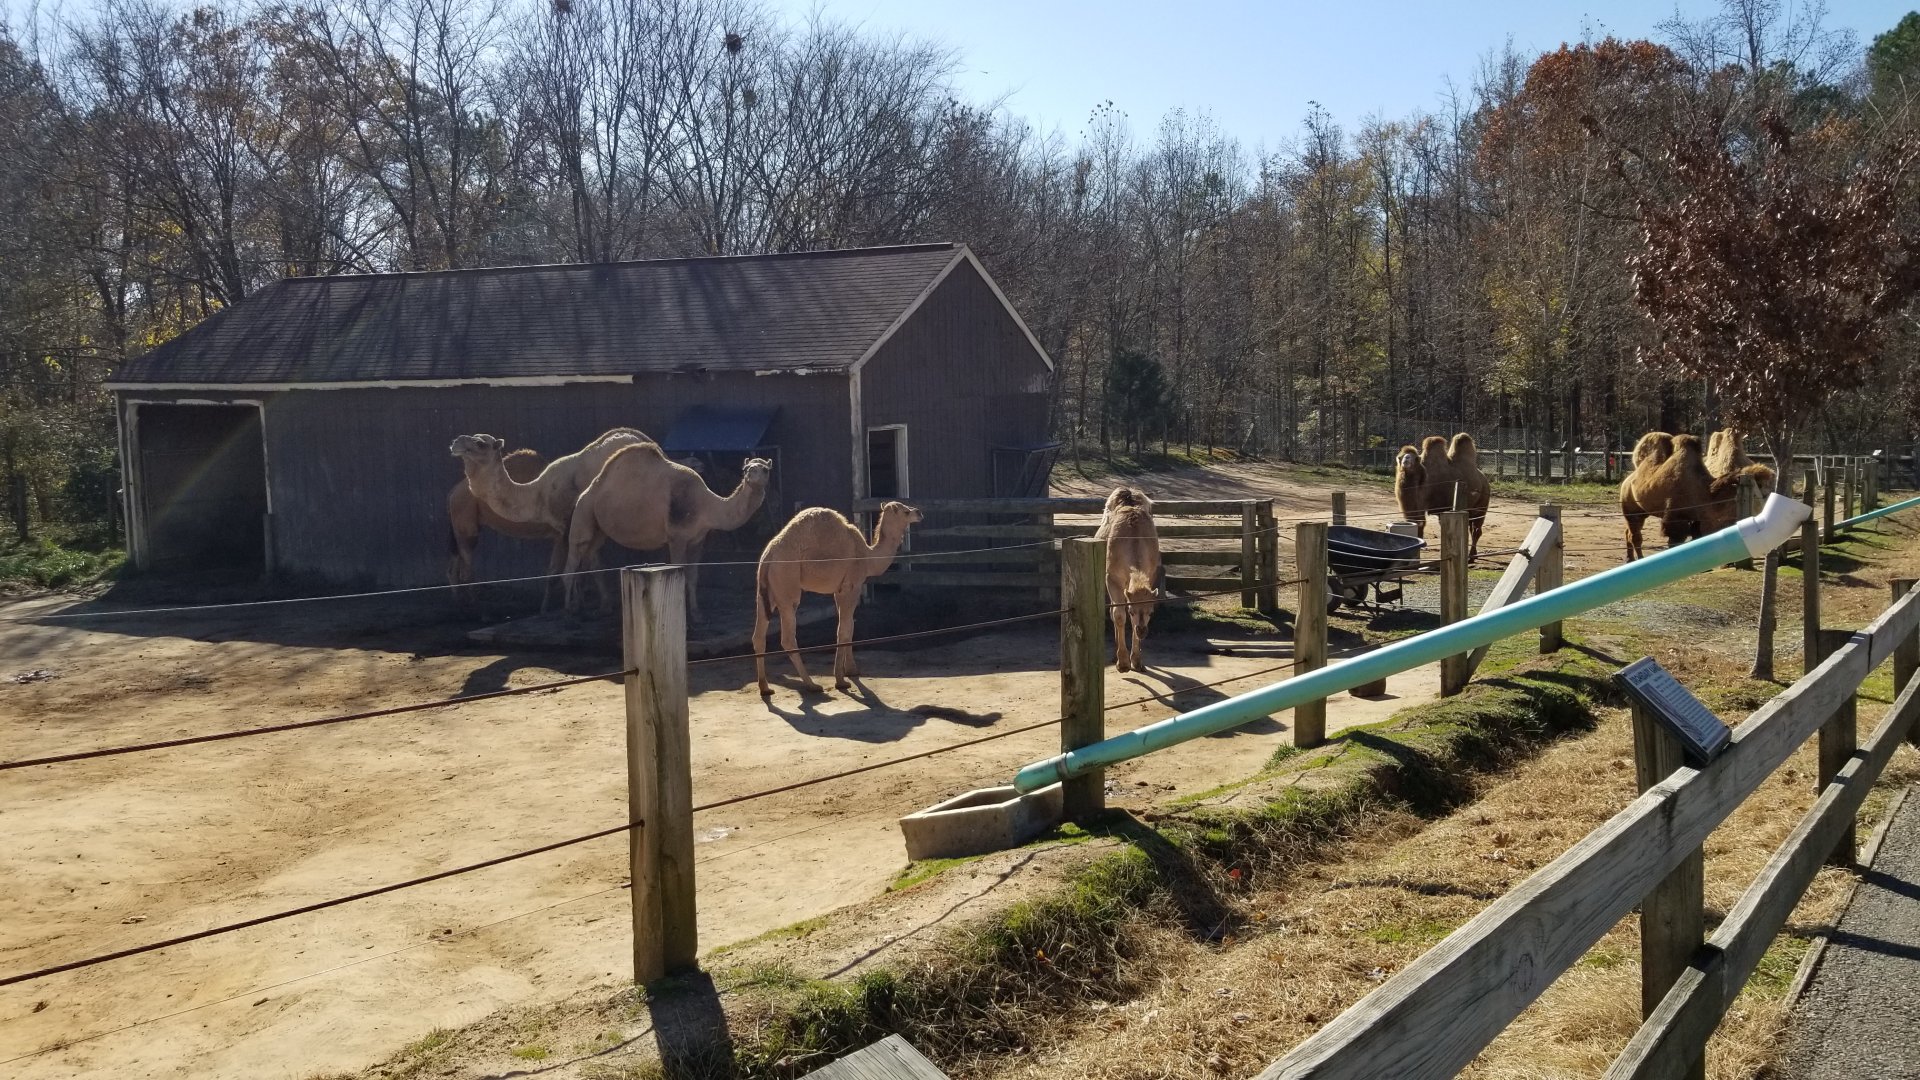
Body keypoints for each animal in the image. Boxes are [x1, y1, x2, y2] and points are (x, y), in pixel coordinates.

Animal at [564, 443, 773, 616]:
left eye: (765, 469)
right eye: (745, 468)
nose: (751, 473)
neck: (705, 505)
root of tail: (589, 490)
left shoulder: (698, 539)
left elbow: (693, 575)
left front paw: (696, 613)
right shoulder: (677, 537)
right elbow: (681, 570)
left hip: (599, 528)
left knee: (590, 558)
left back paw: (593, 605)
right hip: (584, 511)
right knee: (573, 559)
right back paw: (569, 610)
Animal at [753, 501, 922, 695]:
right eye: (906, 511)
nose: (919, 512)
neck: (868, 556)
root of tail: (768, 556)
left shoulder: (838, 591)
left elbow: (850, 627)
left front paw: (852, 670)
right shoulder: (851, 586)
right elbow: (844, 630)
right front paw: (841, 680)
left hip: (767, 592)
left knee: (758, 636)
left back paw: (765, 687)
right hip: (787, 586)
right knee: (788, 637)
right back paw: (812, 685)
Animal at [1094, 487, 1162, 673]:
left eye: (1151, 612)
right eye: (1131, 611)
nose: (1142, 631)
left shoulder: (1150, 576)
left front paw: (1137, 661)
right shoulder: (1112, 579)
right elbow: (1118, 615)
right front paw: (1123, 663)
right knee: (1113, 613)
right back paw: (1115, 655)